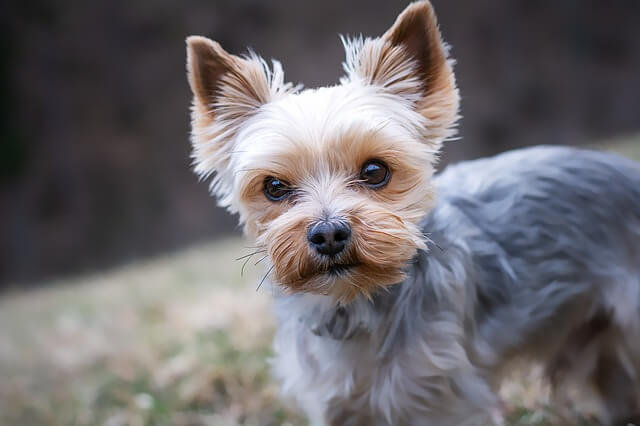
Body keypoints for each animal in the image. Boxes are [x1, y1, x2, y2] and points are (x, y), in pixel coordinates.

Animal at [185, 1, 640, 424]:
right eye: (274, 187)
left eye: (375, 171)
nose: (329, 234)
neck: (354, 304)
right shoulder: (334, 404)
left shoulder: (442, 399)